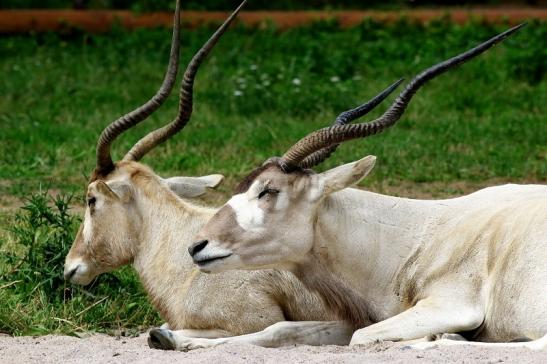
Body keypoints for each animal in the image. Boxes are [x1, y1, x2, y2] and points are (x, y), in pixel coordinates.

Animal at [154, 24, 547, 350]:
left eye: (269, 190)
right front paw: (176, 339)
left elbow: (360, 337)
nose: (197, 246)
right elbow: (278, 331)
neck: (418, 234)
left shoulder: (451, 305)